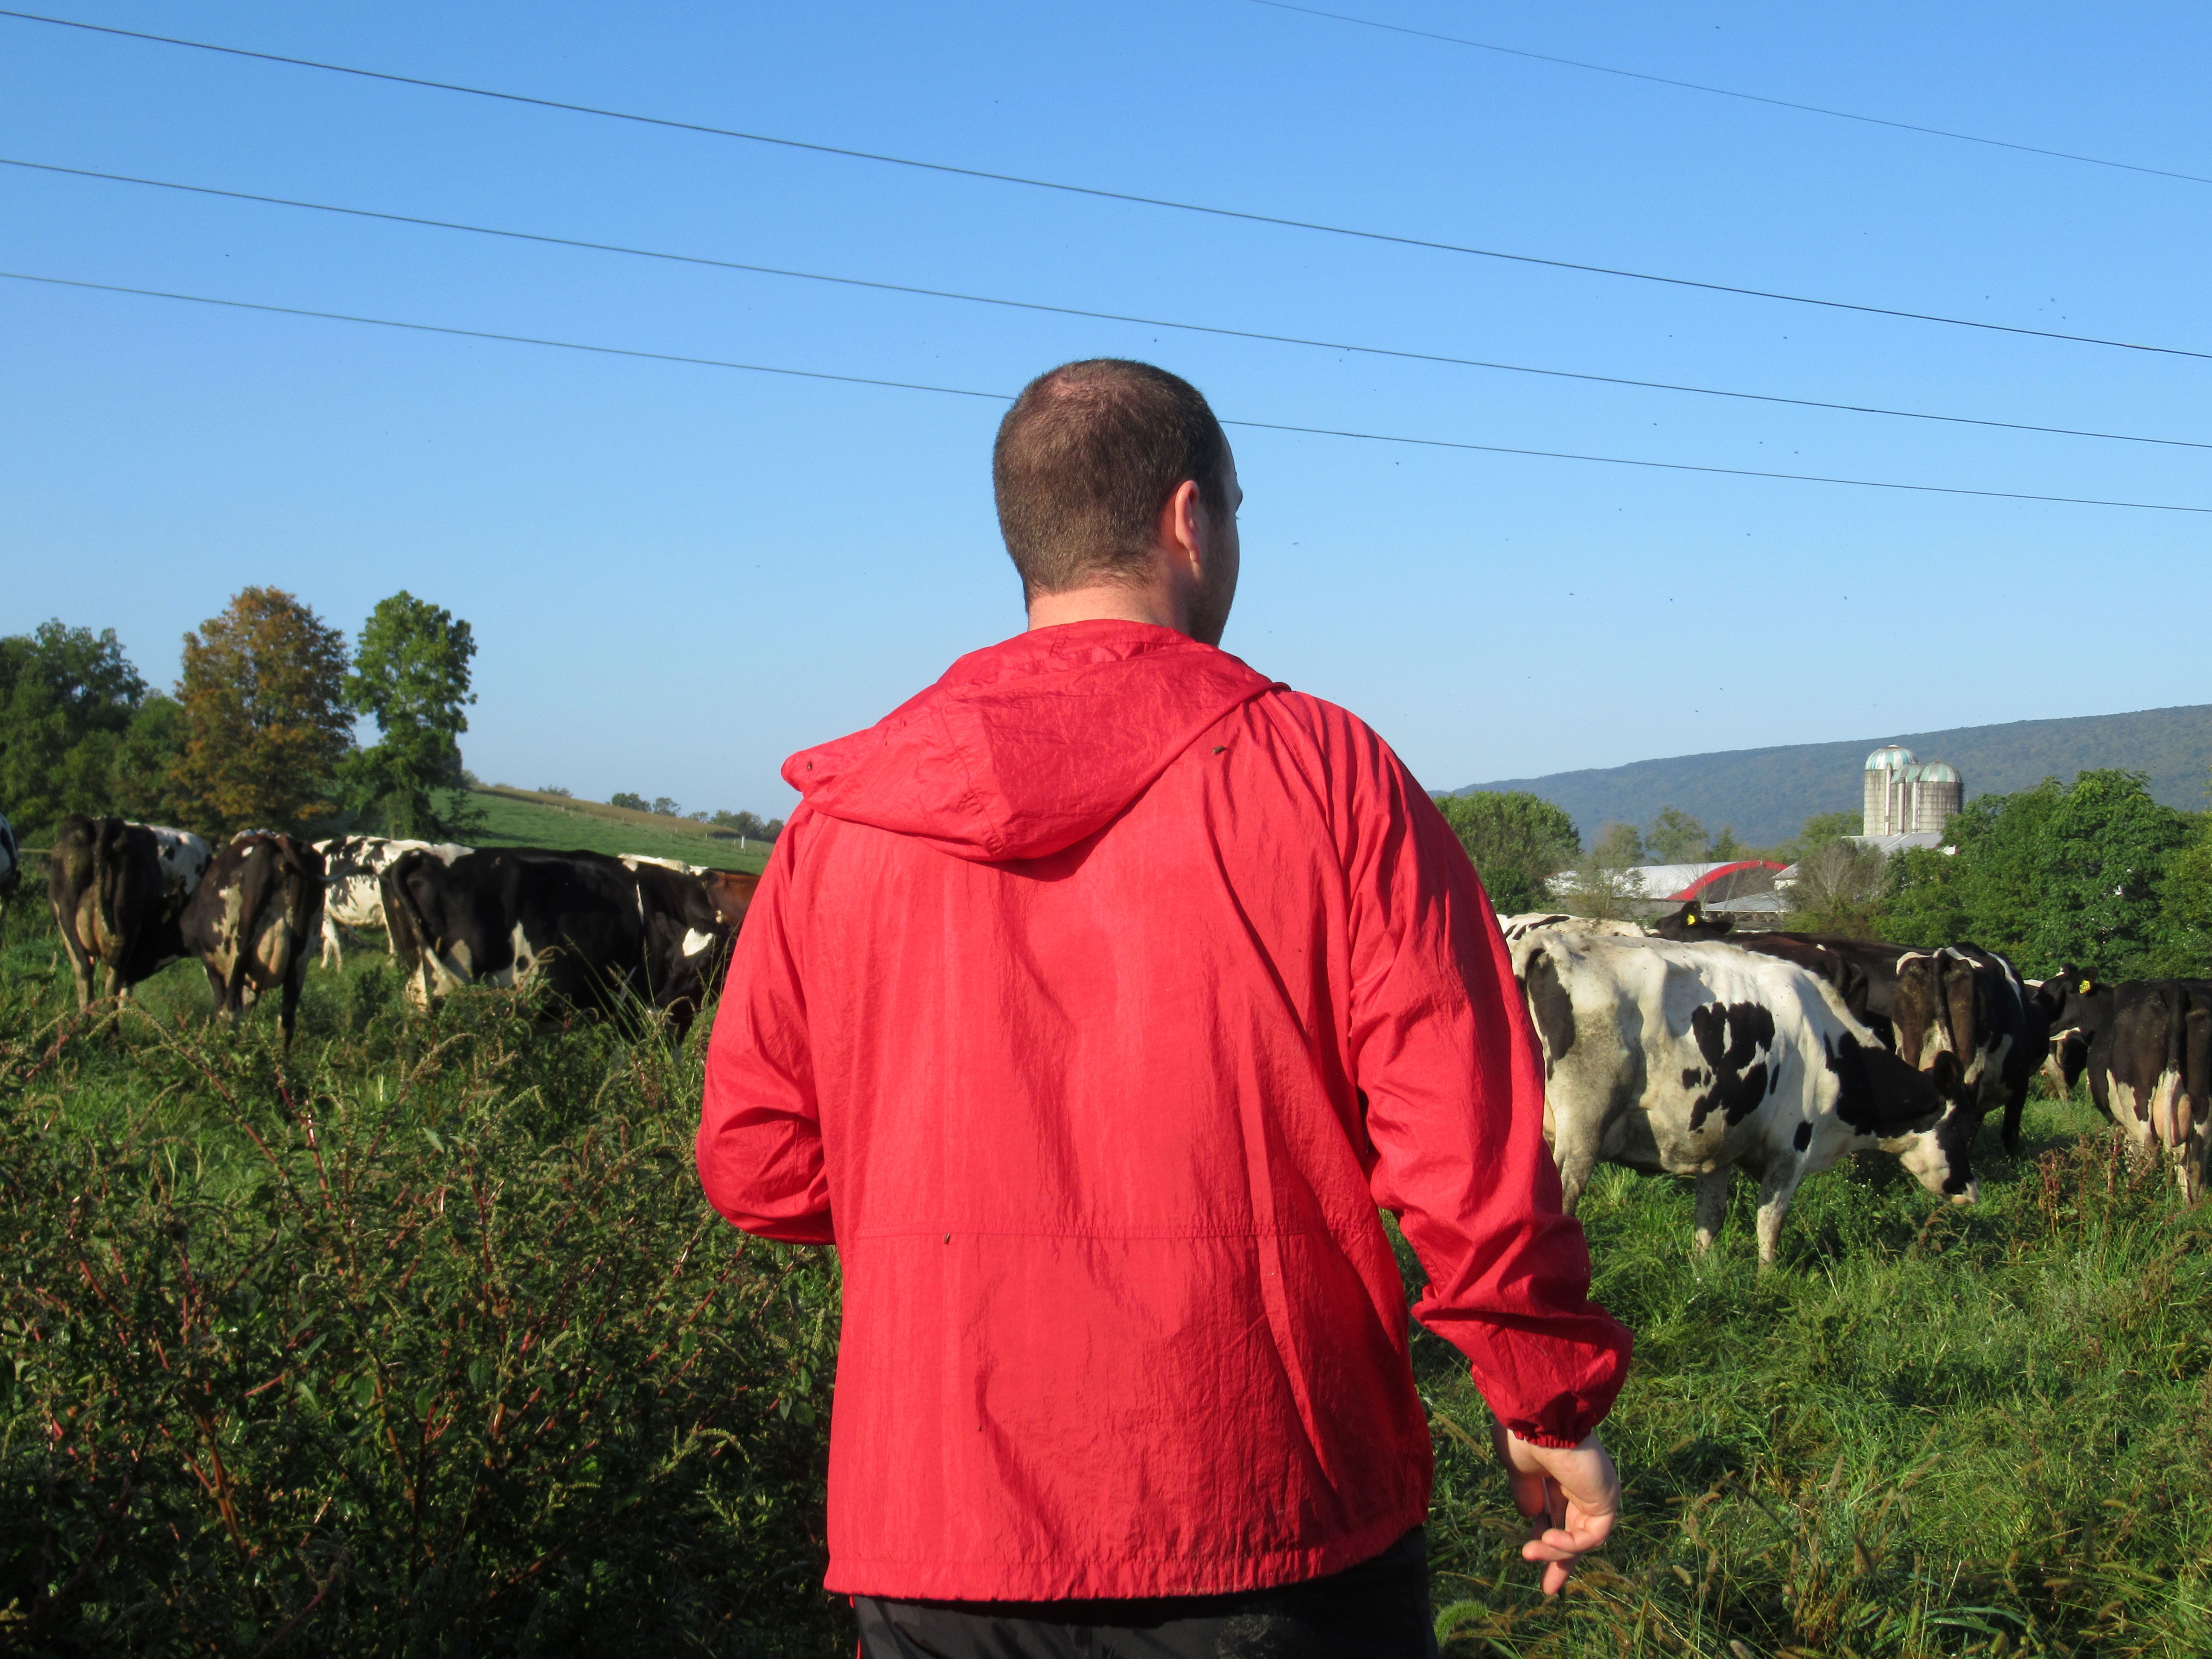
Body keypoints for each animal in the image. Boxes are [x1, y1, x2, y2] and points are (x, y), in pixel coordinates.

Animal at [179, 836, 325, 1044]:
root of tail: (280, 842)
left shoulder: (213, 966)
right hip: (300, 960)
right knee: (286, 1022)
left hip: (239, 951)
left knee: (231, 1014)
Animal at [1513, 929, 1964, 1265]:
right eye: (1965, 1123)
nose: (1969, 1188)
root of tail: (1552, 943)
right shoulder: (1792, 1146)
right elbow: (1771, 1219)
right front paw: (1767, 1279)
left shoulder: (1719, 1148)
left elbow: (1710, 1217)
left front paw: (1703, 1275)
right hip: (1582, 1132)